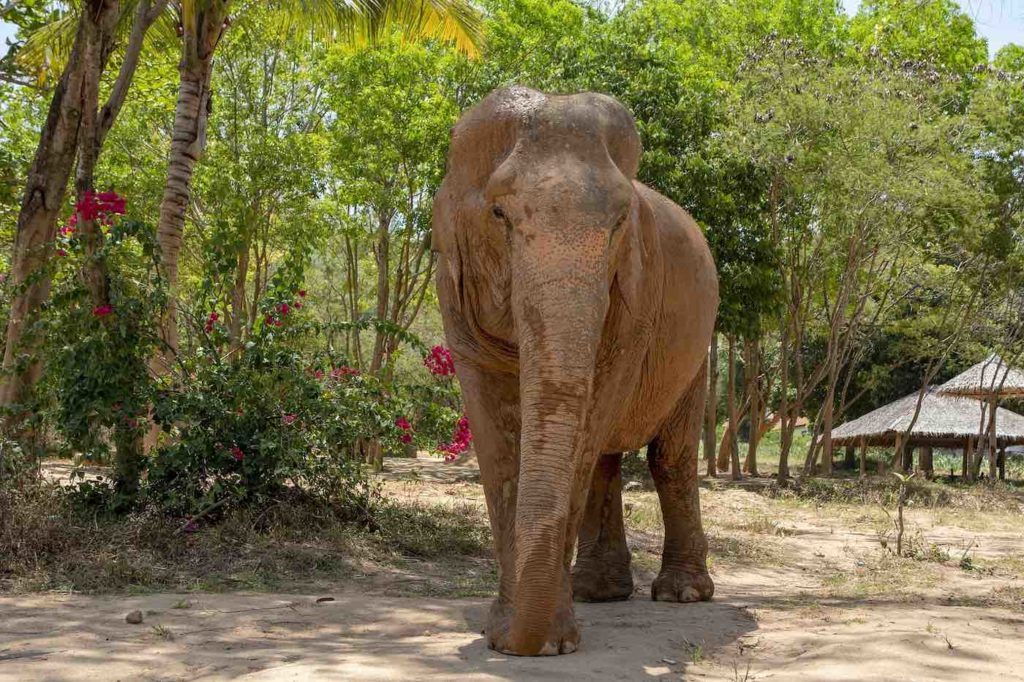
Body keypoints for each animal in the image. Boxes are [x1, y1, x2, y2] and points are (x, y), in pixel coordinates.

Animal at [432, 84, 720, 655]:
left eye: (618, 224)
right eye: (499, 214)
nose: (516, 641)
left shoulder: (638, 294)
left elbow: (591, 420)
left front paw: (545, 643)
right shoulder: (455, 303)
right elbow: (494, 434)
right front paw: (508, 636)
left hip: (695, 354)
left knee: (670, 458)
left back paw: (682, 595)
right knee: (607, 461)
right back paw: (598, 593)